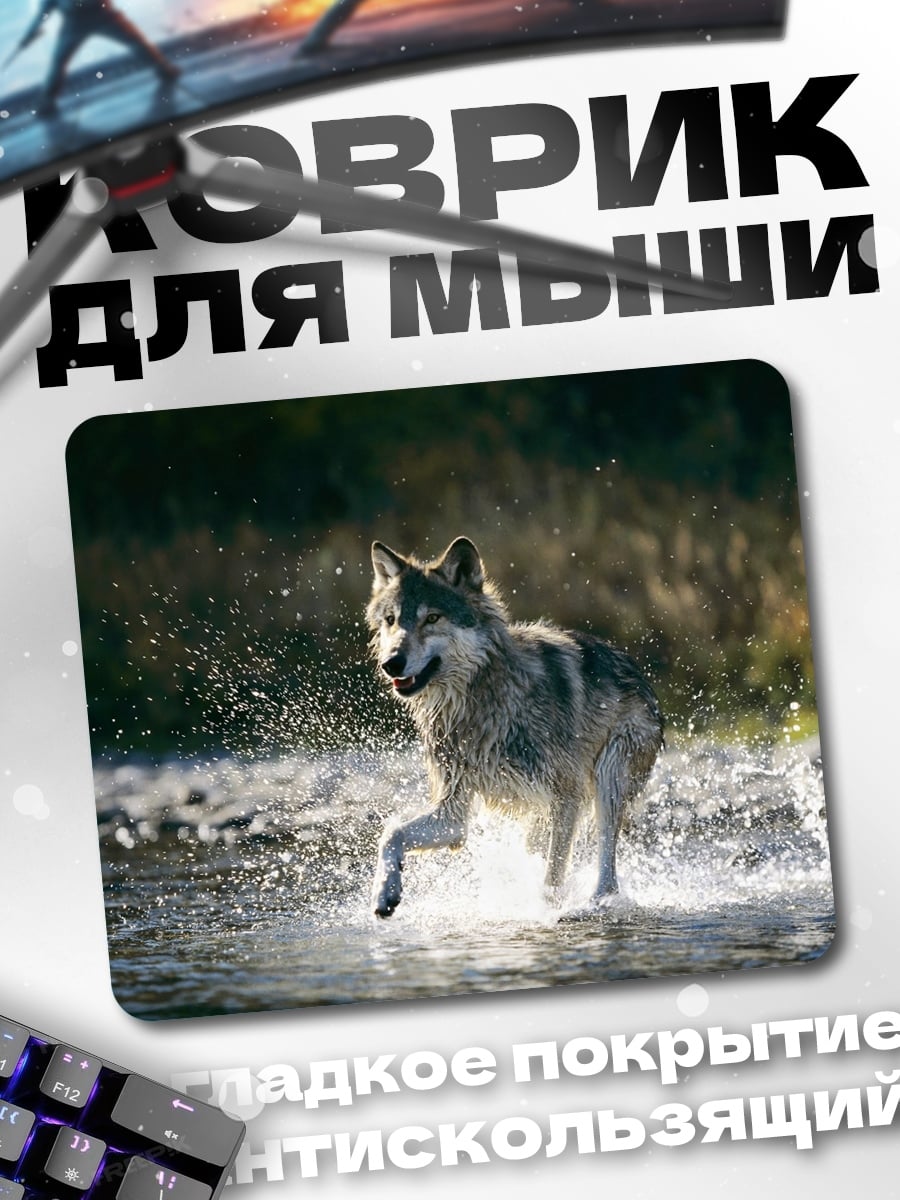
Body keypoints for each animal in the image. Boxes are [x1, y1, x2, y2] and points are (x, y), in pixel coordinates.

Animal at [366, 536, 664, 918]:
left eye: (432, 618)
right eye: (390, 620)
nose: (392, 663)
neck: (482, 705)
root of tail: (640, 675)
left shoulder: (566, 796)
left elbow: (552, 878)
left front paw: (548, 913)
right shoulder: (453, 814)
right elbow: (390, 833)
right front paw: (384, 893)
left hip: (607, 780)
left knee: (607, 871)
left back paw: (598, 904)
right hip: (538, 816)